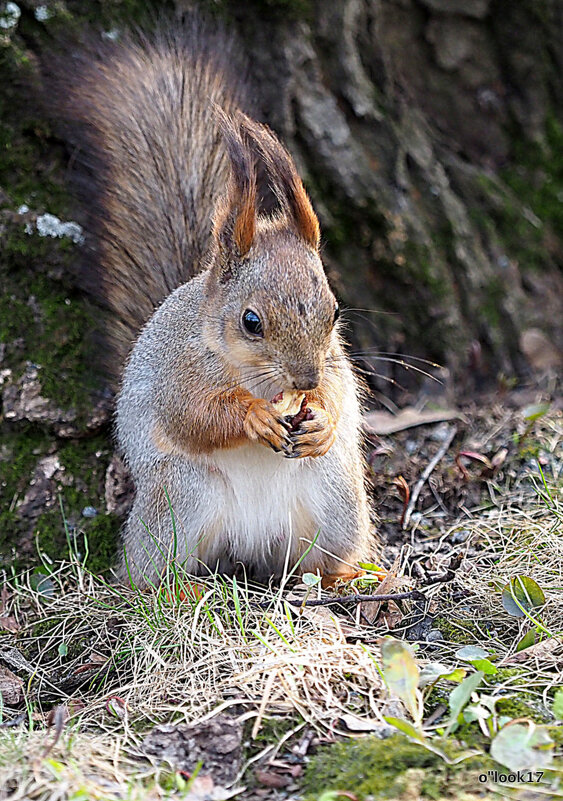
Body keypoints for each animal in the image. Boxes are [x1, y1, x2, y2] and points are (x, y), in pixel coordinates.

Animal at [51, 15, 378, 584]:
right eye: (250, 321)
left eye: (334, 311)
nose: (304, 380)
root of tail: (252, 547)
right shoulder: (179, 371)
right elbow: (193, 415)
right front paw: (252, 417)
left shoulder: (334, 364)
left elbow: (341, 394)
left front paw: (321, 414)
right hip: (181, 498)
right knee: (149, 574)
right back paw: (171, 590)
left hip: (336, 498)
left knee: (324, 556)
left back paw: (350, 577)